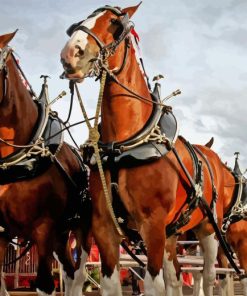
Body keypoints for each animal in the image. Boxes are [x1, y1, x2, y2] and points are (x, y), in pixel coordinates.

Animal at [0, 31, 91, 294]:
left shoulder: (43, 229)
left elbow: (44, 284)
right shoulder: (1, 232)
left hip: (79, 230)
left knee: (78, 274)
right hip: (60, 235)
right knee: (69, 271)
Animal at [59, 4, 239, 294]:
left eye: (114, 23)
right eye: (77, 22)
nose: (70, 54)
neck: (124, 146)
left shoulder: (152, 226)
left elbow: (155, 285)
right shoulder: (105, 228)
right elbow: (111, 284)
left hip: (208, 229)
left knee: (210, 275)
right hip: (172, 233)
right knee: (176, 276)